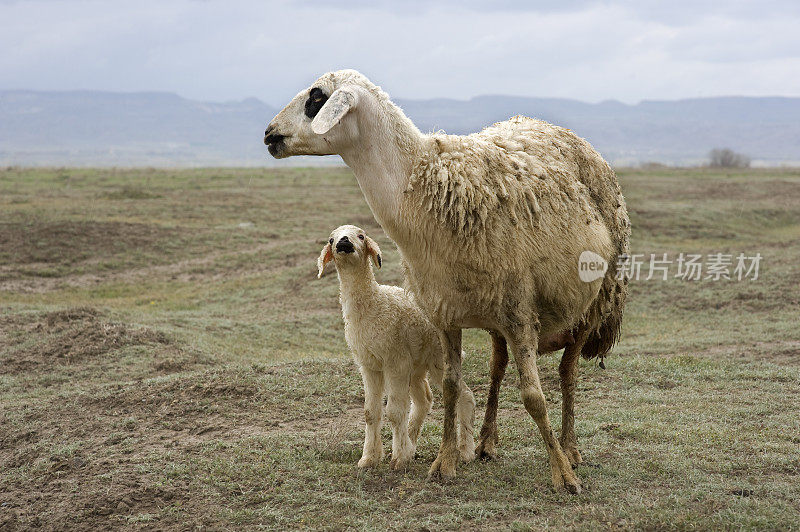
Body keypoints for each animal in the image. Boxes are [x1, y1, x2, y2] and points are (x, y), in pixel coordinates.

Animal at [314, 224, 476, 470]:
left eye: (361, 235)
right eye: (331, 239)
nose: (344, 242)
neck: (373, 304)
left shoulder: (395, 361)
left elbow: (394, 412)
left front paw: (398, 459)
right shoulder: (369, 365)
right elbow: (371, 412)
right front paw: (369, 458)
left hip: (437, 359)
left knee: (464, 395)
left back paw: (466, 452)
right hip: (416, 365)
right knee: (424, 400)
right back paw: (412, 444)